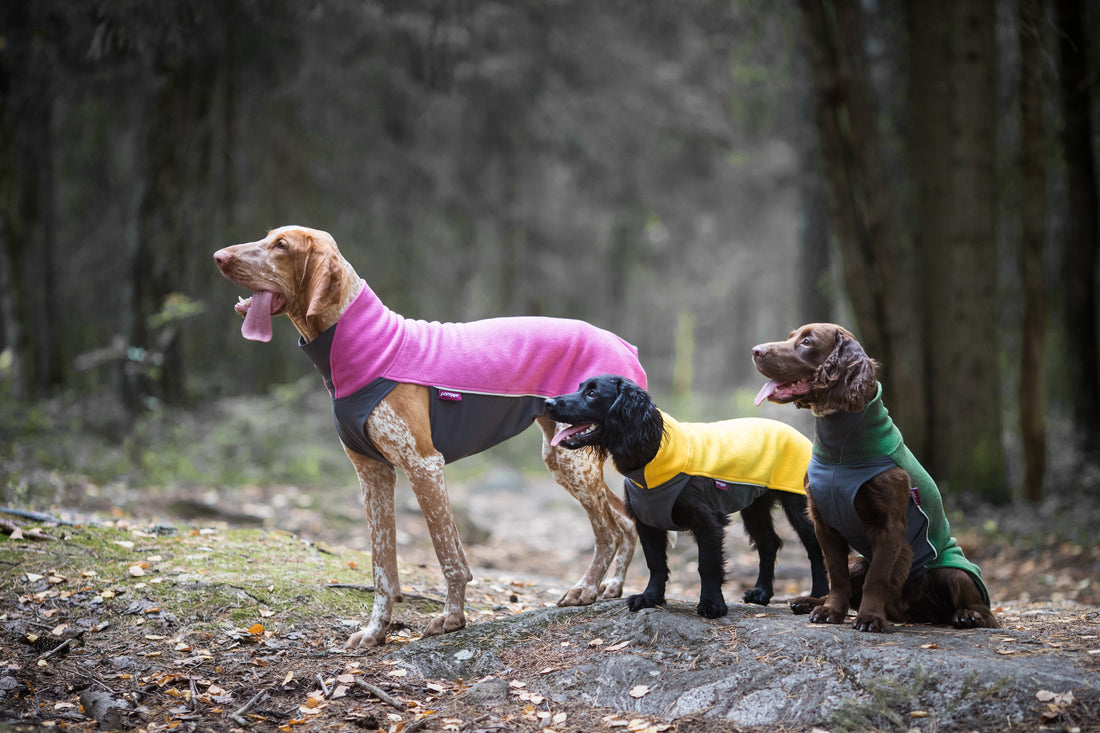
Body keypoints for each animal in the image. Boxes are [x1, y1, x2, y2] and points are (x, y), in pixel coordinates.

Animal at [214, 225, 642, 647]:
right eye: (267, 237)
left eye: (281, 246)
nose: (218, 256)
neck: (362, 347)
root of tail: (624, 344)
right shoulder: (373, 475)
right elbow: (382, 569)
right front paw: (376, 631)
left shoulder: (424, 466)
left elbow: (448, 556)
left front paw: (452, 618)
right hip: (563, 457)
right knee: (625, 523)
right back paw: (611, 587)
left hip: (572, 460)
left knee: (606, 532)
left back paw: (585, 589)